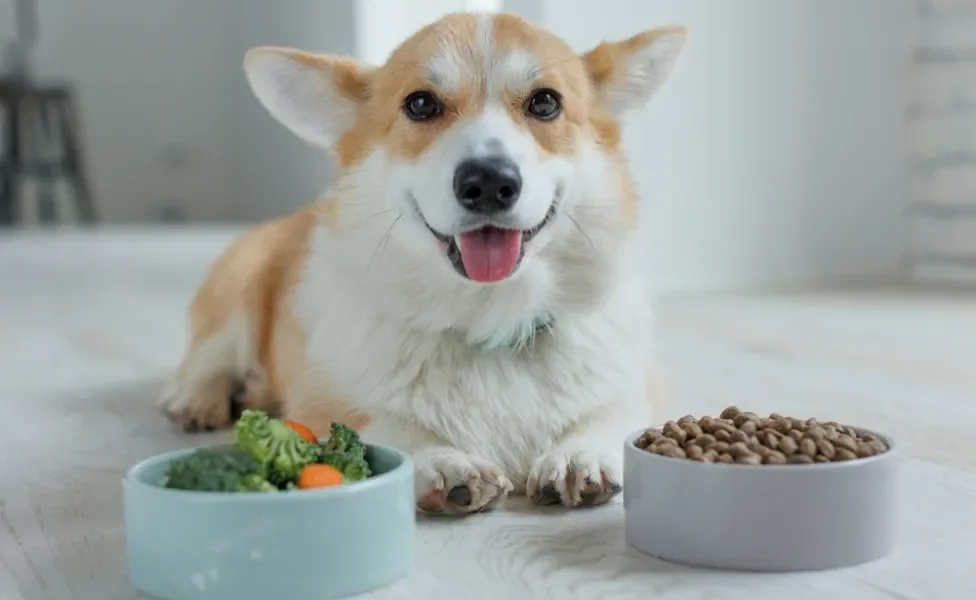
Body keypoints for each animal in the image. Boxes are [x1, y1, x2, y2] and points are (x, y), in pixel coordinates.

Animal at [158, 10, 688, 516]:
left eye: (545, 103)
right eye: (420, 104)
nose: (488, 182)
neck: (488, 319)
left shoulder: (637, 386)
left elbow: (611, 413)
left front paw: (580, 454)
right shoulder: (323, 398)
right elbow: (384, 426)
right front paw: (442, 461)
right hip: (241, 277)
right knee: (210, 353)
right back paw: (199, 397)